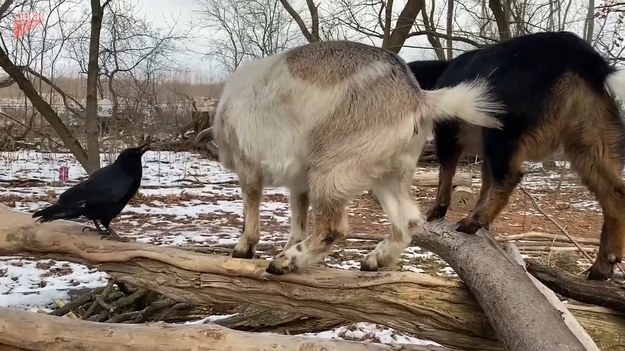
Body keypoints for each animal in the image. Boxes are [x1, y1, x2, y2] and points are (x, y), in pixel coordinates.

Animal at [197, 40, 504, 276]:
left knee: (334, 228)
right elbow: (298, 214)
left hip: (331, 170)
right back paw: (375, 260)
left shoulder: (249, 166)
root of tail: (419, 97)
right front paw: (288, 241)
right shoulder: (299, 182)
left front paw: (244, 248)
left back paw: (286, 262)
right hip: (387, 173)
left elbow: (251, 202)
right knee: (409, 220)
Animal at [410, 31, 624, 282]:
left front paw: (436, 212)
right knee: (614, 193)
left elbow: (446, 173)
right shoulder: (483, 156)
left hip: (502, 131)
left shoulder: (448, 135)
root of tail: (582, 56)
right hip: (591, 140)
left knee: (510, 177)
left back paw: (472, 222)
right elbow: (485, 183)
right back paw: (603, 265)